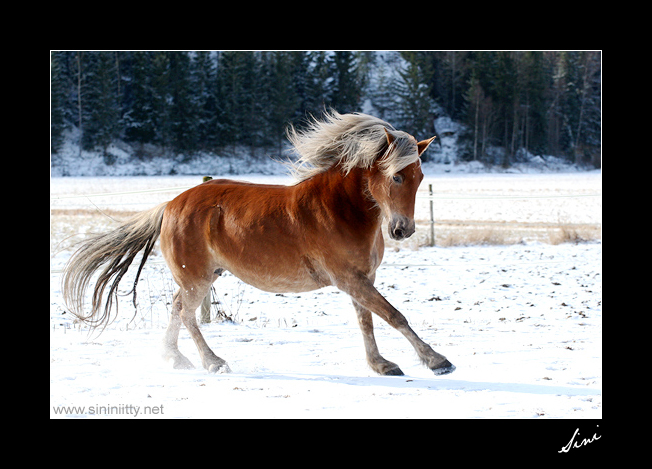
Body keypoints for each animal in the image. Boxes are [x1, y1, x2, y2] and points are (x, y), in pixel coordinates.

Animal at [63, 112, 456, 376]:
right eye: (396, 176)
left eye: (420, 176)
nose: (403, 230)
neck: (342, 209)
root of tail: (171, 205)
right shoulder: (349, 278)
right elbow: (393, 315)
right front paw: (437, 361)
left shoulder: (363, 278)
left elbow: (367, 321)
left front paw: (381, 365)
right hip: (196, 278)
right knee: (186, 314)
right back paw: (213, 362)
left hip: (202, 276)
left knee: (176, 310)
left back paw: (177, 360)